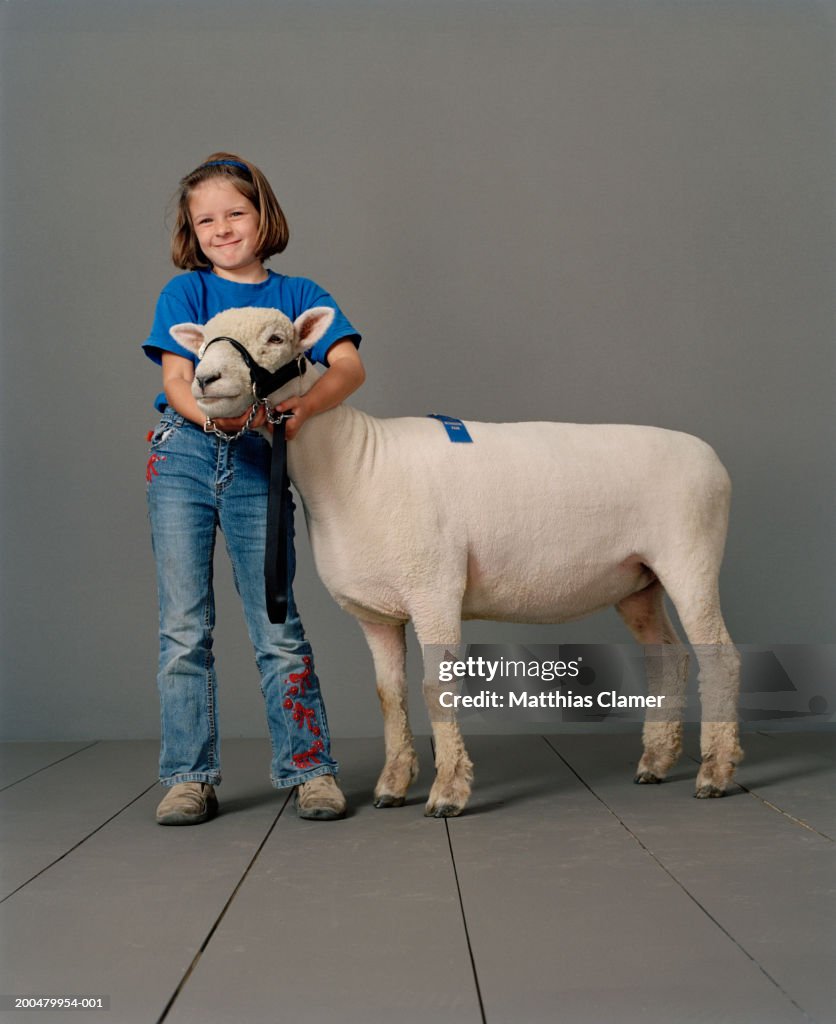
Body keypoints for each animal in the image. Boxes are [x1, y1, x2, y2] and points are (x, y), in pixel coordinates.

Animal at [171, 303, 745, 815]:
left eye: (275, 338)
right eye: (200, 345)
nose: (205, 378)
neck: (354, 463)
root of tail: (713, 459)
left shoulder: (435, 587)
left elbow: (435, 687)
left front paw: (448, 792)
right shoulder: (376, 612)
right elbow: (389, 694)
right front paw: (392, 786)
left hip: (690, 556)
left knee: (720, 656)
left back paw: (715, 773)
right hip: (639, 580)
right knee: (669, 656)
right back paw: (656, 762)